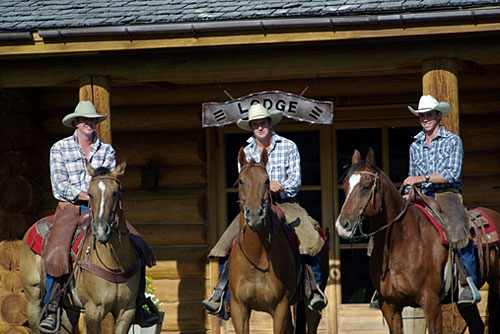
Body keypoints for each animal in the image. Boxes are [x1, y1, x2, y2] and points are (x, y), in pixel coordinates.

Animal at [19, 161, 141, 332]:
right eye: (90, 194)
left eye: (115, 193)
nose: (101, 230)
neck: (115, 264)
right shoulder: (93, 310)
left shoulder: (127, 311)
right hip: (33, 298)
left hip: (70, 308)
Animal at [334, 148, 500, 334]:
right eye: (345, 186)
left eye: (366, 186)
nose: (342, 225)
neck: (398, 244)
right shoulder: (390, 307)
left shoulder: (431, 302)